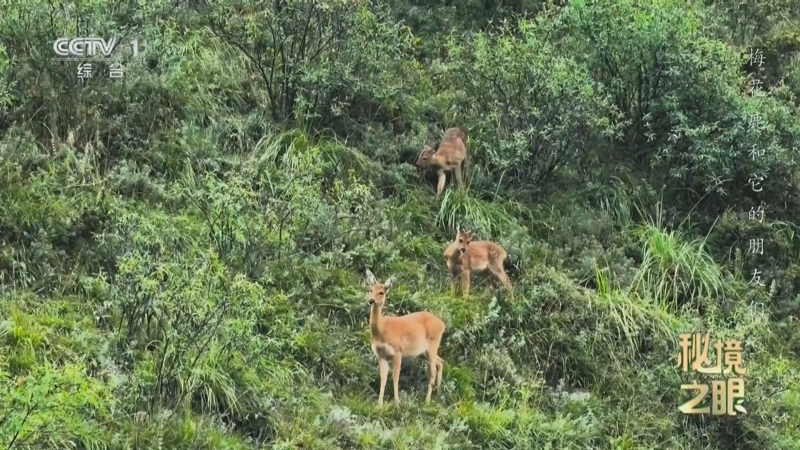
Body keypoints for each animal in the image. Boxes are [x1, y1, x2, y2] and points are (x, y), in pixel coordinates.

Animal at [364, 269, 446, 406]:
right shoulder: (381, 355)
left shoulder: (398, 351)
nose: (371, 300)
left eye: (381, 292)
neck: (382, 330)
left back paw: (427, 400)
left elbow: (395, 377)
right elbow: (383, 377)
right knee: (441, 362)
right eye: (370, 289)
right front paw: (379, 404)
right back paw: (438, 393)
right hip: (423, 352)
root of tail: (443, 324)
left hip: (432, 345)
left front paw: (397, 402)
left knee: (432, 371)